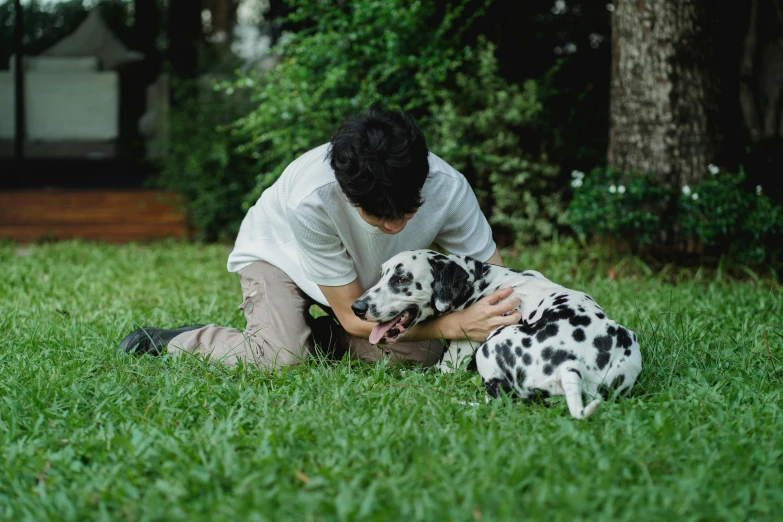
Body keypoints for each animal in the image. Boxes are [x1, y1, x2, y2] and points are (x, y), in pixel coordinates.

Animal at [354, 248, 644, 418]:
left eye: (402, 279)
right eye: (383, 275)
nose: (356, 307)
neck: (481, 281)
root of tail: (572, 366)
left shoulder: (449, 366)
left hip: (490, 346)